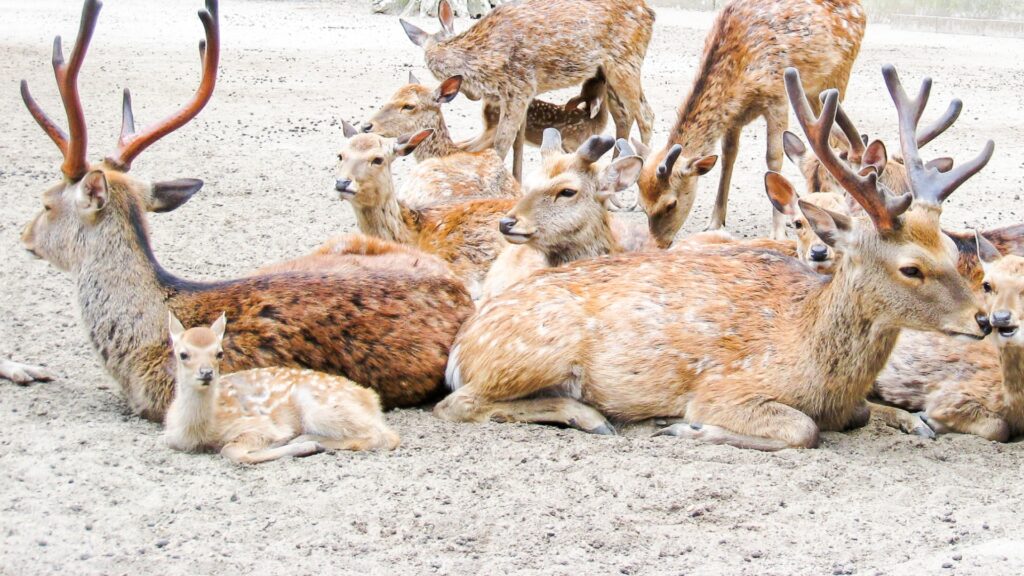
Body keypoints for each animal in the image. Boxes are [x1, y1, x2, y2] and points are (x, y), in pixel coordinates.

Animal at [166, 314, 399, 464]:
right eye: (183, 354)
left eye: (219, 353)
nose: (206, 373)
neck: (198, 429)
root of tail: (370, 397)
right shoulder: (171, 438)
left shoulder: (260, 426)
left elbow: (231, 450)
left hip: (321, 409)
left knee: (384, 436)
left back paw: (308, 442)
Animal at [399, 0, 655, 180]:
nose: (472, 96)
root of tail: (650, 13)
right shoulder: (522, 93)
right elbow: (519, 141)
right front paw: (517, 182)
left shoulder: (518, 86)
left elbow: (503, 142)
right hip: (609, 72)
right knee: (624, 116)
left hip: (625, 63)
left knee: (646, 115)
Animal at [634, 0, 866, 248]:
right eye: (642, 205)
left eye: (671, 204)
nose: (656, 245)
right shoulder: (733, 115)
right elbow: (728, 156)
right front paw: (714, 222)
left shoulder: (778, 98)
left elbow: (773, 157)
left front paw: (778, 231)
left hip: (838, 75)